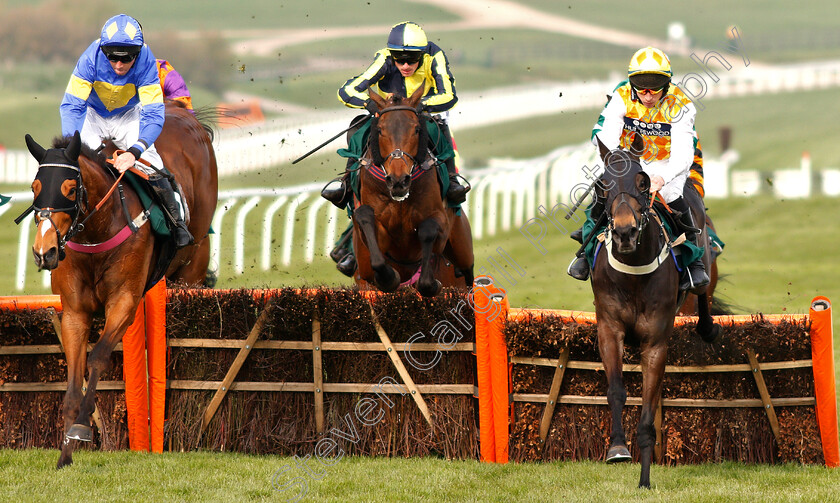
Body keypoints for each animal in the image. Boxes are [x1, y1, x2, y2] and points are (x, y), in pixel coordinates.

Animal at [25, 102, 218, 468]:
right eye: (34, 188)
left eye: (70, 188)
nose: (45, 252)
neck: (96, 232)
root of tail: (183, 113)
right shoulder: (75, 311)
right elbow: (75, 372)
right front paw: (65, 452)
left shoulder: (124, 302)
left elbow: (99, 356)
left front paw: (81, 429)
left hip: (193, 267)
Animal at [352, 86, 476, 296]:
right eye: (380, 130)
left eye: (417, 129)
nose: (398, 181)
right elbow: (364, 217)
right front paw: (388, 278)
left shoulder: (441, 221)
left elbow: (428, 230)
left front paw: (430, 284)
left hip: (463, 251)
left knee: (467, 273)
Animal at [592, 135, 720, 488]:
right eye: (602, 185)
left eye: (644, 182)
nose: (624, 232)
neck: (634, 271)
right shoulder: (609, 329)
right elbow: (616, 391)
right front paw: (617, 448)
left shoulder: (655, 344)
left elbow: (649, 418)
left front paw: (645, 479)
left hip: (705, 263)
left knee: (703, 293)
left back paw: (708, 326)